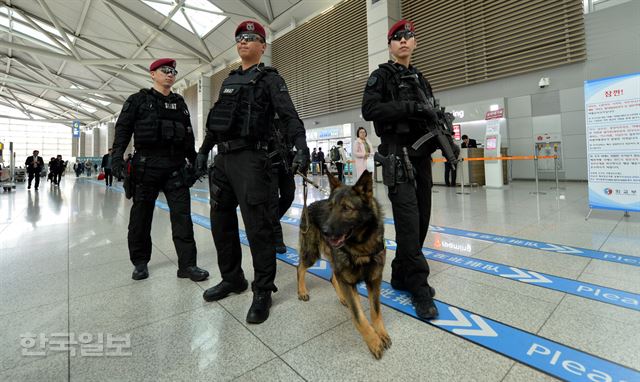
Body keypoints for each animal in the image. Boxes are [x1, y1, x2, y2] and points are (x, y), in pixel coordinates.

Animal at [296, 170, 390, 358]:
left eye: (346, 208)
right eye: (331, 208)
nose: (324, 231)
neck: (361, 247)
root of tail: (309, 205)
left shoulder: (374, 280)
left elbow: (375, 311)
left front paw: (381, 333)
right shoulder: (348, 281)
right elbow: (359, 316)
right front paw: (373, 341)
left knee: (333, 277)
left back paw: (341, 297)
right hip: (312, 254)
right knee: (300, 267)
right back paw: (302, 290)